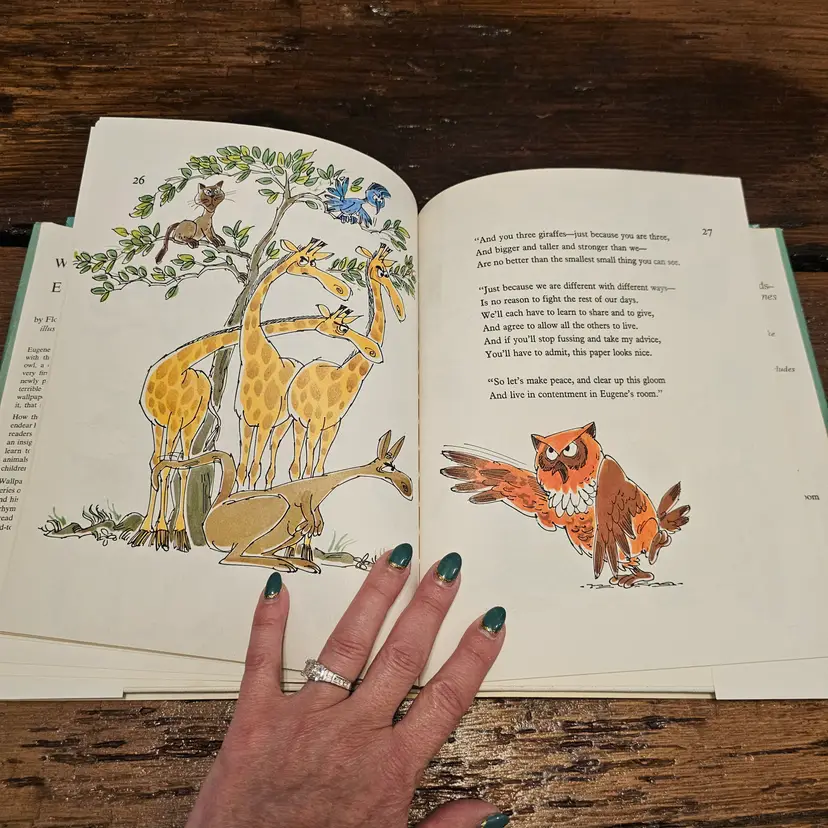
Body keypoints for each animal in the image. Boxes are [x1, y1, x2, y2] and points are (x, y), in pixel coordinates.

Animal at [129, 304, 379, 552]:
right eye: (341, 326)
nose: (372, 350)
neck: (176, 367)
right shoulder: (162, 423)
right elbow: (161, 463)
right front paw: (148, 531)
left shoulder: (186, 421)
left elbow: (250, 467)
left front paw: (161, 532)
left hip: (267, 423)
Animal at [235, 238, 351, 491]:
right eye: (303, 260)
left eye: (315, 260)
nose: (341, 289)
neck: (254, 357)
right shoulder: (245, 420)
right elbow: (242, 468)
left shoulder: (266, 422)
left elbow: (254, 468)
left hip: (285, 422)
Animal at [287, 243, 406, 479]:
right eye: (381, 271)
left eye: (387, 270)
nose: (400, 309)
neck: (343, 376)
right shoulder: (315, 423)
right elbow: (309, 469)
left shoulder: (334, 425)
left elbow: (320, 468)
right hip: (298, 421)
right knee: (295, 465)